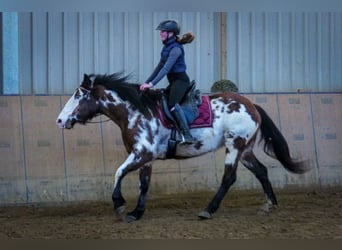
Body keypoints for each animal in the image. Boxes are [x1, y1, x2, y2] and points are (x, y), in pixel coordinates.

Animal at [56, 73, 308, 223]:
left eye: (78, 96)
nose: (60, 120)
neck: (135, 111)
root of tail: (251, 105)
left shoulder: (141, 153)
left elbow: (118, 172)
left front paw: (119, 204)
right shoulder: (146, 158)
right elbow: (143, 184)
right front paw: (137, 212)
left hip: (234, 146)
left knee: (229, 177)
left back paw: (208, 210)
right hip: (245, 150)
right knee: (261, 171)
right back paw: (269, 205)